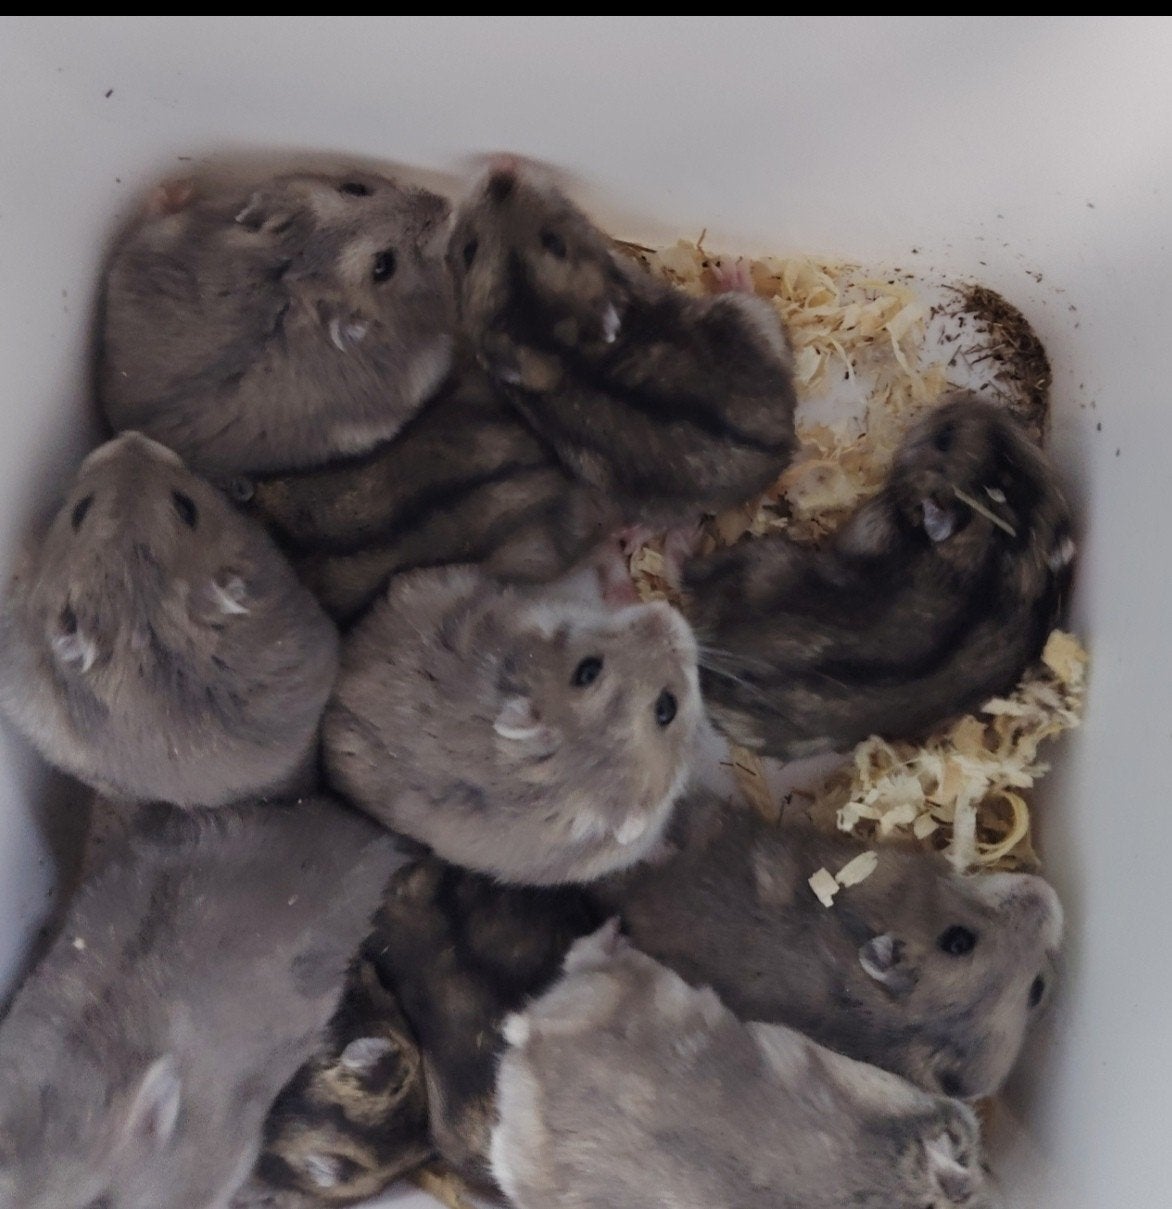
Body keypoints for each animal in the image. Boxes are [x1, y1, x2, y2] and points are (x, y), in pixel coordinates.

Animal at [447, 161, 798, 526]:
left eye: (554, 242)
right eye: (468, 250)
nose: (503, 169)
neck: (559, 346)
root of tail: (784, 446)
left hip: (752, 318)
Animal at [490, 921, 996, 1209]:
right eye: (966, 1152)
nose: (972, 1116)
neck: (895, 1172)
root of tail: (532, 1035)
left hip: (616, 984)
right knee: (585, 948)